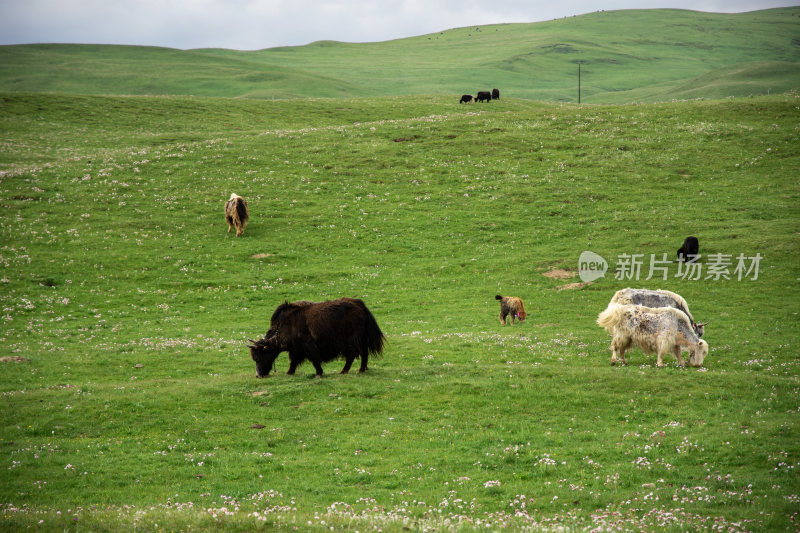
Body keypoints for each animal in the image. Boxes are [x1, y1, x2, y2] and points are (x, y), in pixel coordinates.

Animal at [250, 298, 388, 376]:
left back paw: (344, 371)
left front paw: (319, 373)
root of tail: (360, 305)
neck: (284, 326)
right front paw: (289, 372)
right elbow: (293, 361)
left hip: (352, 339)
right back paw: (361, 370)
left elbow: (314, 359)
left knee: (353, 354)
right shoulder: (296, 349)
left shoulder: (307, 345)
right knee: (364, 353)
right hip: (361, 339)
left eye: (258, 356)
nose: (258, 375)